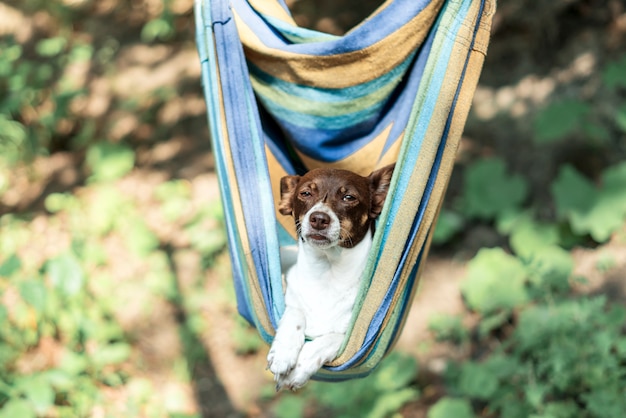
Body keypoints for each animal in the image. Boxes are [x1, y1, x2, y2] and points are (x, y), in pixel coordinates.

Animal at [264, 162, 392, 390]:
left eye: (349, 197)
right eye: (305, 193)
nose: (318, 219)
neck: (327, 272)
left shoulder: (354, 336)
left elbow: (330, 339)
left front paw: (300, 366)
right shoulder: (292, 294)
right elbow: (294, 313)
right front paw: (283, 352)